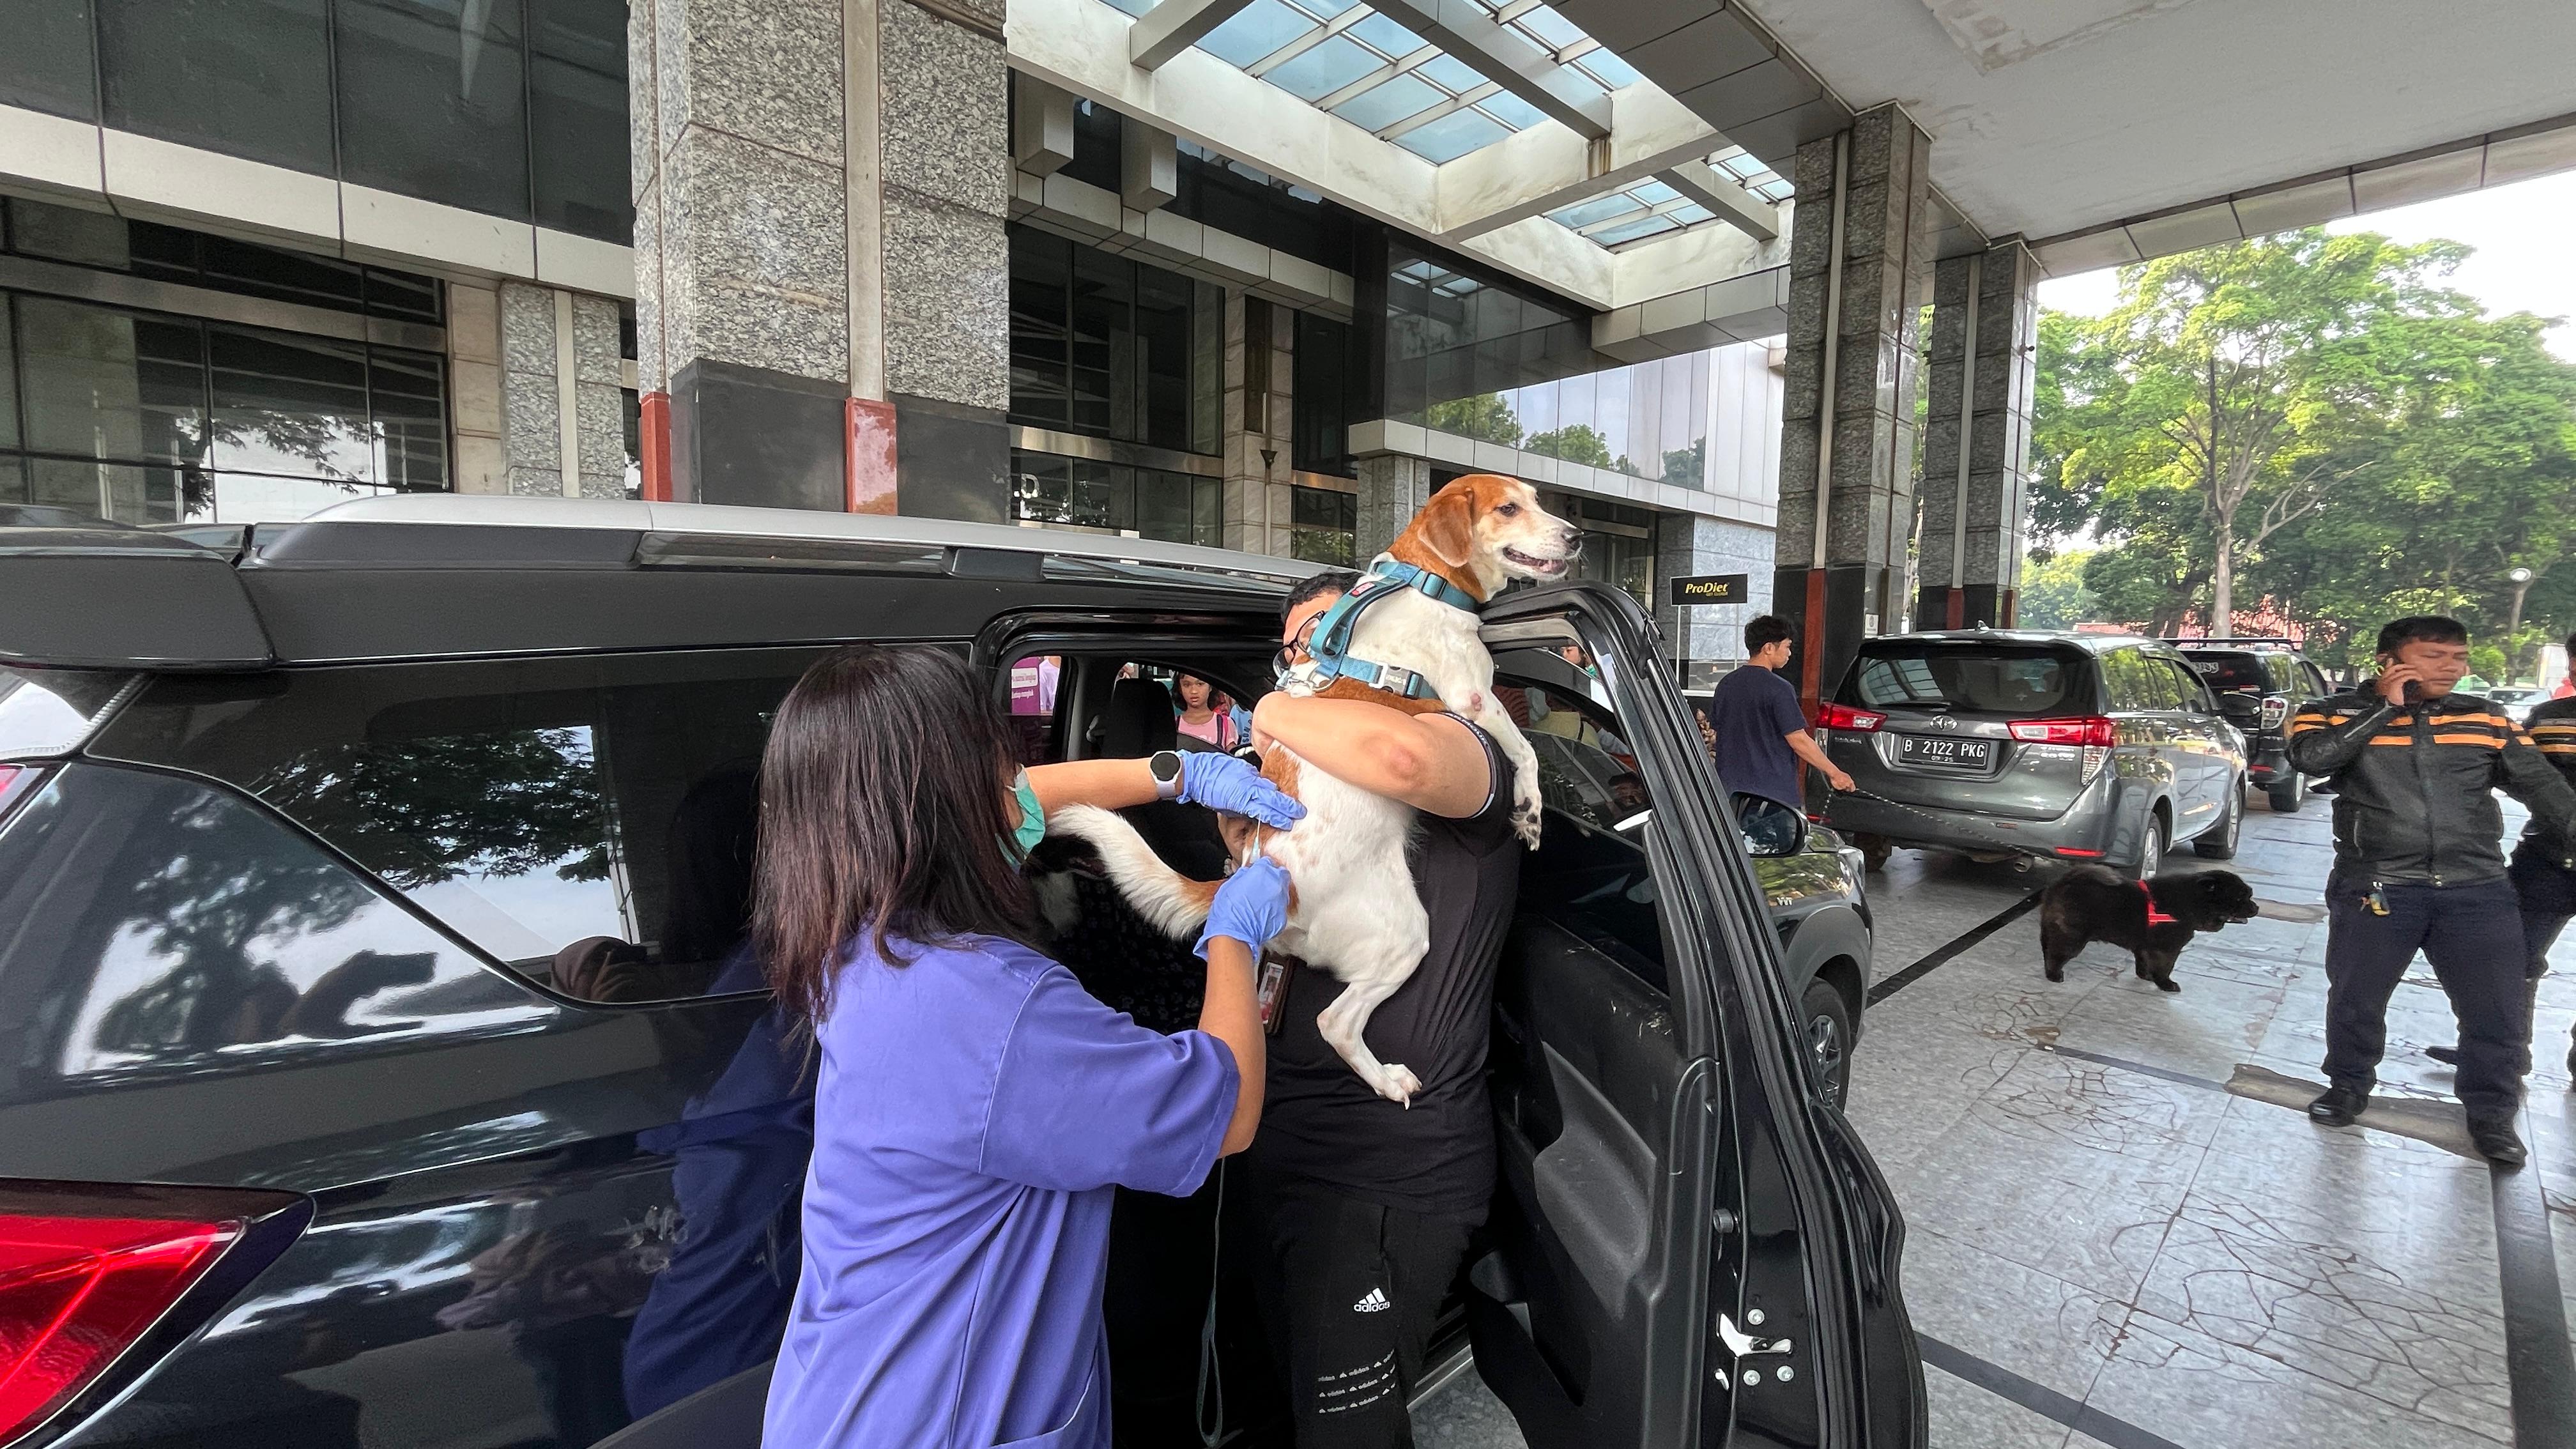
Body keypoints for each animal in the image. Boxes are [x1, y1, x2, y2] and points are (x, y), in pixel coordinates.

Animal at [1051, 474, 1580, 1103]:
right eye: (1508, 508)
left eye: (1539, 500)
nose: (1577, 536)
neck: (1428, 581)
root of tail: (1263, 877)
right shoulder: (1472, 699)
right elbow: (1525, 750)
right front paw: (1530, 810)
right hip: (1406, 933)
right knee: (1337, 1022)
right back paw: (1387, 1079)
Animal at [2038, 864, 2259, 993]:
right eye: (2240, 898)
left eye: (2249, 896)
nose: (2256, 907)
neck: (2193, 902)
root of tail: (2064, 882)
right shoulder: (2167, 949)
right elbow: (2165, 968)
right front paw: (2166, 984)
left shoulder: (2145, 947)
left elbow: (2143, 962)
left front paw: (2146, 976)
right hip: (2072, 937)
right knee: (2056, 955)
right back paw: (2054, 975)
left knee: (2048, 949)